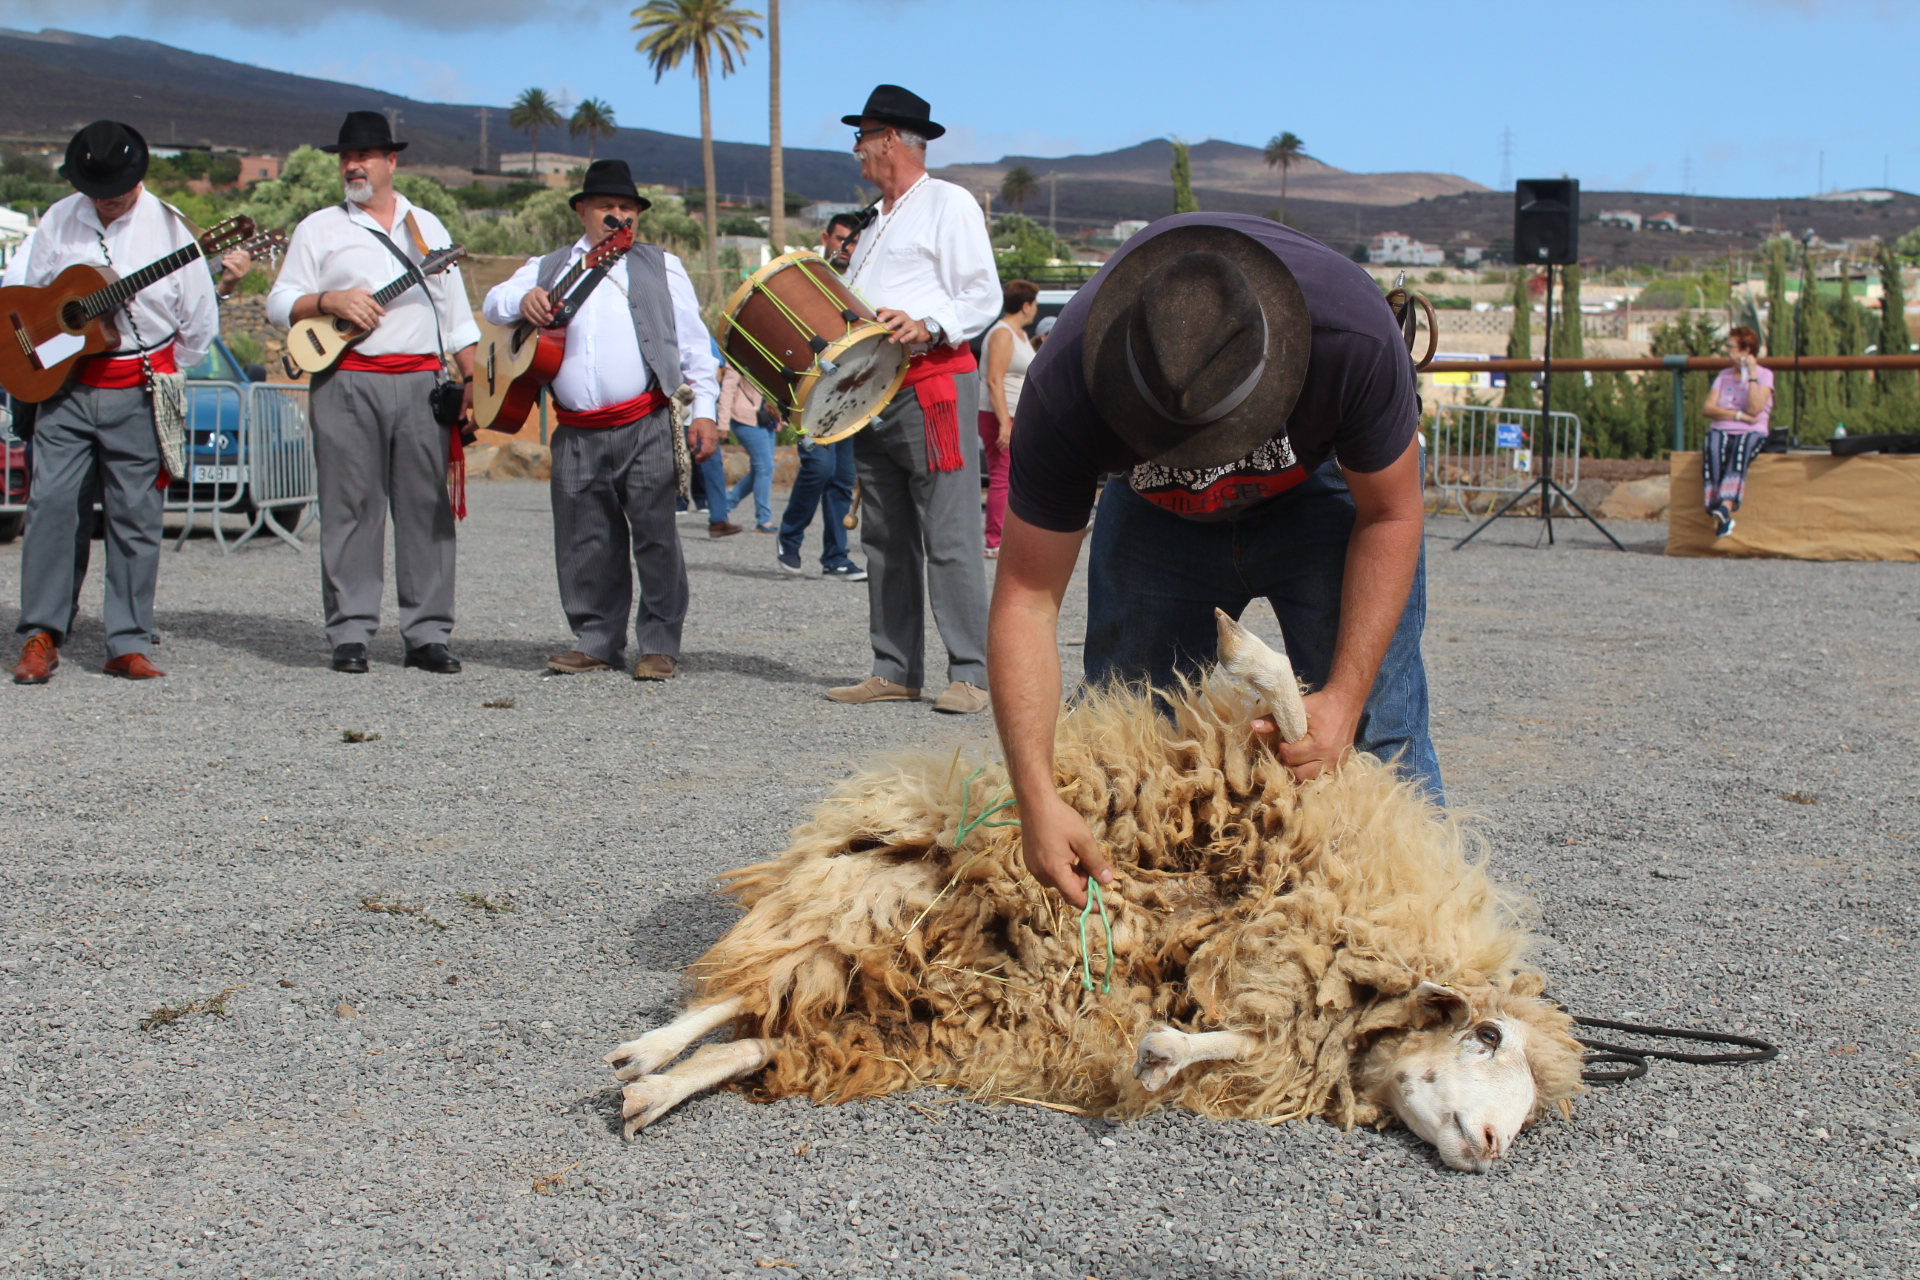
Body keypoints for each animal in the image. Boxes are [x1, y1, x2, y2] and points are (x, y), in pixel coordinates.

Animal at [606, 614, 1582, 1174]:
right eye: (1487, 1036)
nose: (1492, 1148)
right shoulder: (1264, 793)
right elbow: (1291, 711)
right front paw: (1242, 647)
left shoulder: (1286, 1008)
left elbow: (1214, 1041)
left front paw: (1163, 1054)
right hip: (873, 894)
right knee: (741, 990)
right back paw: (644, 1052)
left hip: (896, 1015)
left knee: (766, 1032)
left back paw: (655, 1090)